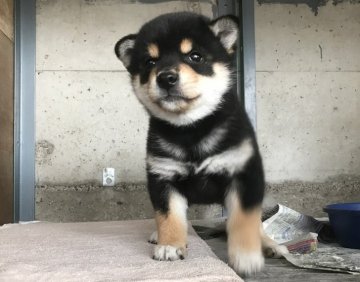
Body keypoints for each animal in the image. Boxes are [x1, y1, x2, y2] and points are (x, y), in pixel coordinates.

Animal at [115, 12, 286, 274]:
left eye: (195, 56)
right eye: (150, 62)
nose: (166, 77)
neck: (191, 129)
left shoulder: (244, 173)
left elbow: (244, 219)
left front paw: (246, 255)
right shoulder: (163, 177)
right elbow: (169, 216)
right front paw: (170, 245)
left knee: (256, 223)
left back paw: (270, 245)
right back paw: (158, 235)